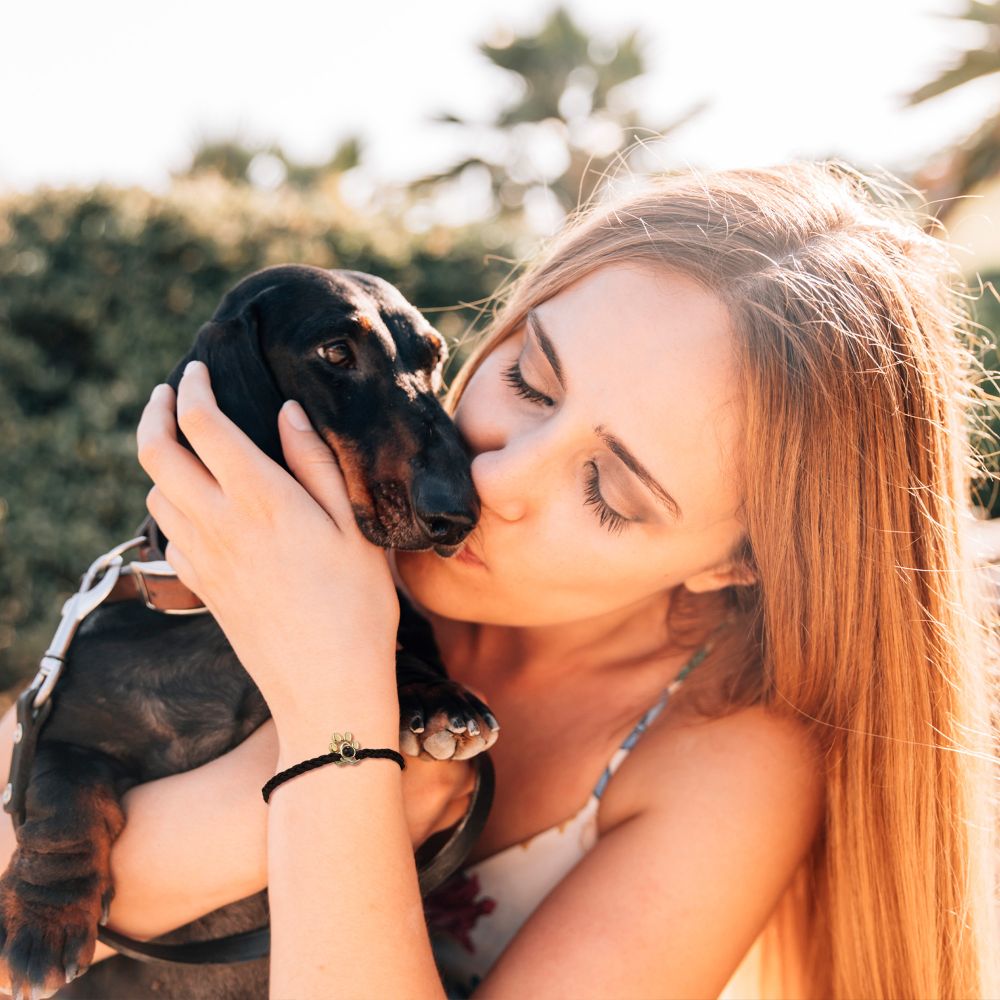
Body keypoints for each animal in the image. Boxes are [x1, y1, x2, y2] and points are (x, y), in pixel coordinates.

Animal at [0, 262, 500, 996]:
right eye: (335, 352)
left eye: (433, 359)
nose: (456, 515)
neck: (209, 621)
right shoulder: (57, 733)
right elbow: (62, 796)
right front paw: (43, 919)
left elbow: (396, 647)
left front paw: (437, 699)